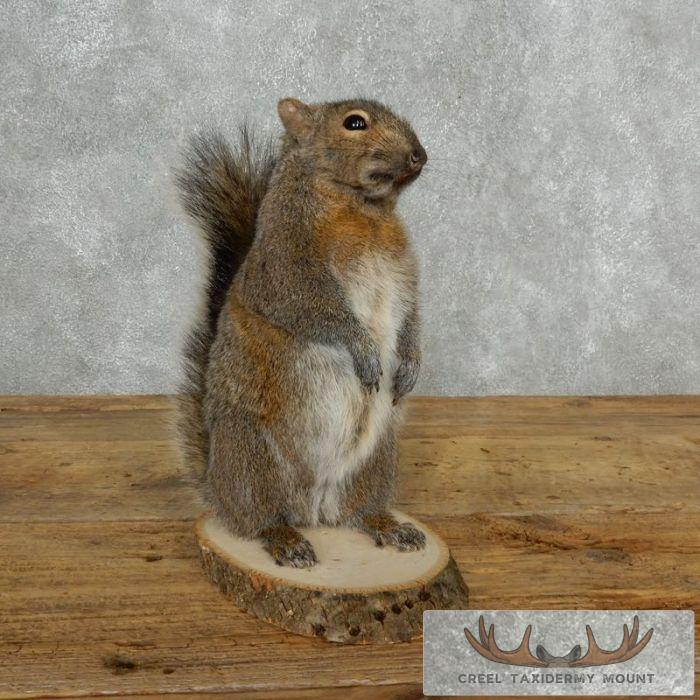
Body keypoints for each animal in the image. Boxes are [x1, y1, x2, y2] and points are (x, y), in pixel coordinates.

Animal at [176, 98, 428, 568]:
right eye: (354, 123)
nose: (419, 155)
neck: (363, 208)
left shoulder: (405, 276)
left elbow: (412, 319)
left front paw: (409, 364)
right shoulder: (285, 265)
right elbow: (317, 312)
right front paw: (364, 350)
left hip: (375, 461)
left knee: (355, 513)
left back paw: (389, 525)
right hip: (252, 461)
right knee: (258, 519)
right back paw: (286, 541)